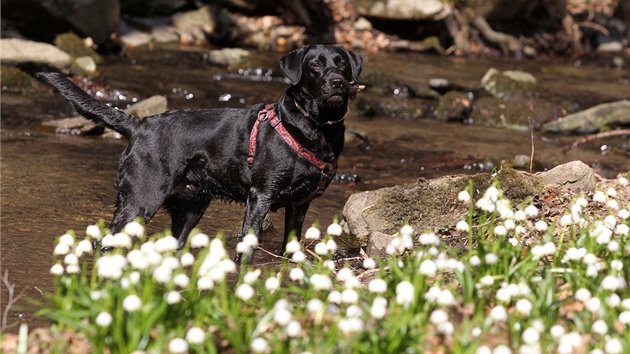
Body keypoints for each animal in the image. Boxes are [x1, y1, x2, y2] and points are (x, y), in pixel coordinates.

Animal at [38, 44, 366, 262]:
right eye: (315, 66)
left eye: (342, 64)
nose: (337, 82)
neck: (314, 127)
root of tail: (139, 124)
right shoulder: (260, 196)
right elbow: (246, 250)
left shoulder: (300, 204)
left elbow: (291, 248)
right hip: (140, 201)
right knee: (104, 243)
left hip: (191, 207)